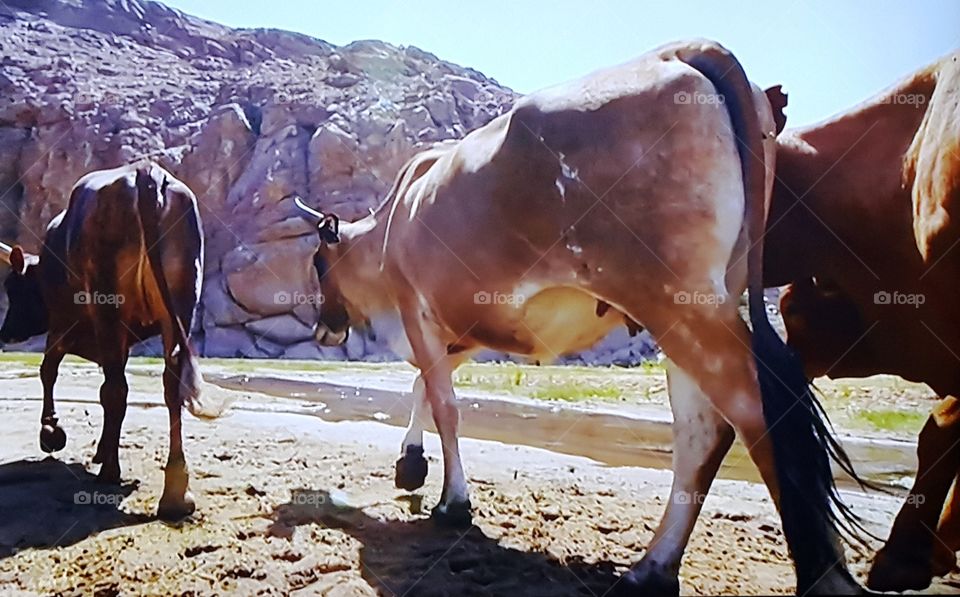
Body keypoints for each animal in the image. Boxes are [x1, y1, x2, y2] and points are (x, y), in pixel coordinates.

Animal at [0, 162, 205, 521]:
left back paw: (110, 472)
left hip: (108, 303)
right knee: (170, 385)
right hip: (180, 305)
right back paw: (176, 492)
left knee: (116, 389)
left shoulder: (63, 324)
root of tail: (146, 172)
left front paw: (52, 433)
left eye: (13, 288)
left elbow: (48, 370)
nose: (5, 332)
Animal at [294, 40, 867, 595]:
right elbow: (424, 387)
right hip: (699, 306)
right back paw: (652, 568)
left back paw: (822, 575)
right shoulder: (472, 329)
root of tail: (683, 49)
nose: (323, 327)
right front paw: (410, 465)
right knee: (703, 431)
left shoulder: (419, 312)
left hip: (675, 301)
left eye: (319, 261)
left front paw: (452, 503)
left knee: (755, 412)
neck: (394, 220)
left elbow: (444, 404)